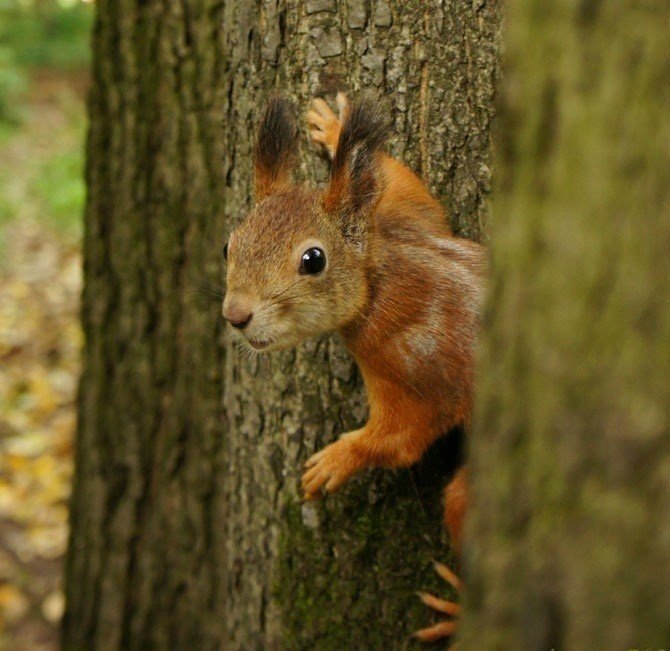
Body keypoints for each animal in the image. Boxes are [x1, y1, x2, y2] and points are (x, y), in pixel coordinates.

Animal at [223, 94, 486, 644]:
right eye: (228, 244)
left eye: (313, 259)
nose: (235, 316)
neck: (377, 275)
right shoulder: (413, 225)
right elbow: (411, 189)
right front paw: (333, 125)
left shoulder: (408, 361)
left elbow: (400, 439)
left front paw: (336, 461)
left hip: (470, 500)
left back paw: (457, 613)